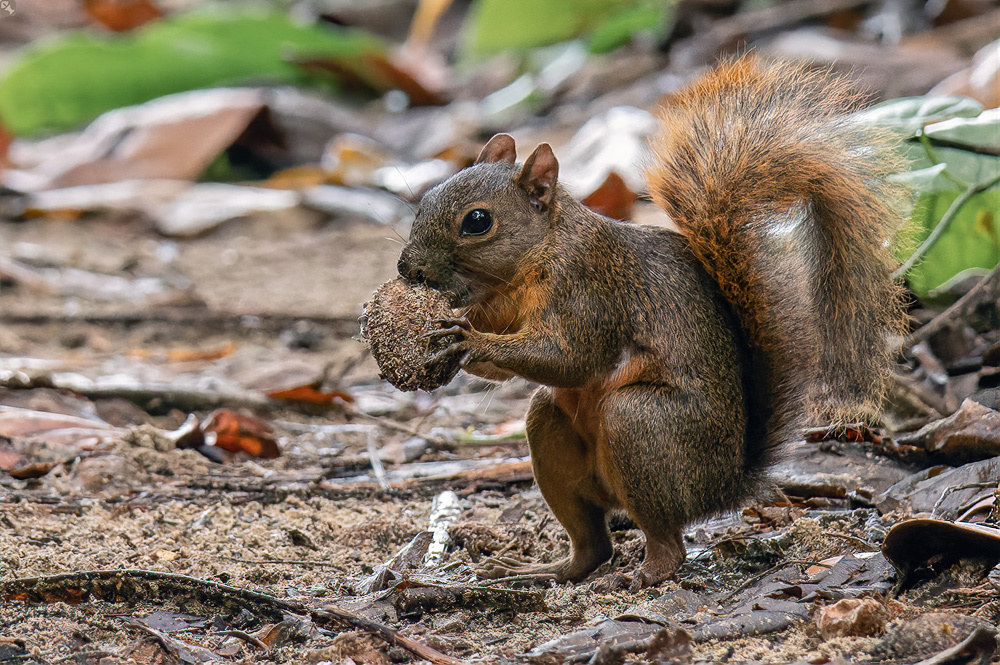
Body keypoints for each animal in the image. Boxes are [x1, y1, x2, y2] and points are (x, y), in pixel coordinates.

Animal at [396, 57, 908, 588]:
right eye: (427, 198)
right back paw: (543, 569)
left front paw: (467, 340)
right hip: (553, 434)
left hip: (641, 424)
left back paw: (644, 573)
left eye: (477, 221)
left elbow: (570, 357)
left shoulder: (590, 288)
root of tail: (727, 486)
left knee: (667, 539)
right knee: (592, 542)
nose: (408, 270)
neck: (529, 264)